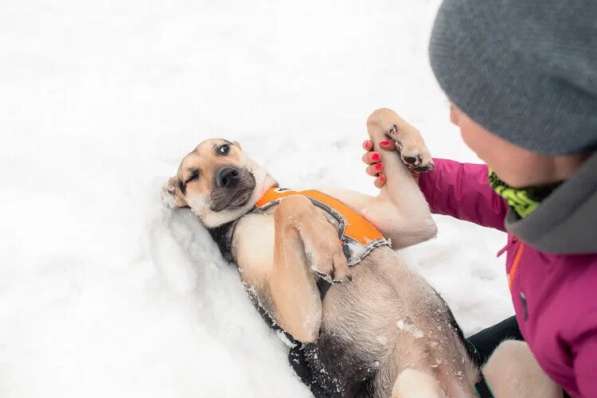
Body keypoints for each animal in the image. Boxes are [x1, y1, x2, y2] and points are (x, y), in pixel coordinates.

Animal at [163, 109, 480, 398]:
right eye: (191, 177)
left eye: (223, 149)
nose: (227, 175)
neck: (260, 204)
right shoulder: (300, 320)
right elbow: (293, 205)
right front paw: (326, 247)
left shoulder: (412, 222)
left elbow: (377, 113)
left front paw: (411, 146)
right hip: (413, 382)